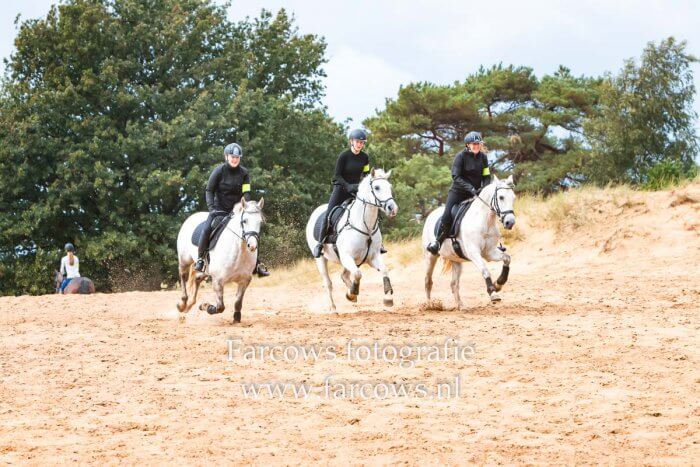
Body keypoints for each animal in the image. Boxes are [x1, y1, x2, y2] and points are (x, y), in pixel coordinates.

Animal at [306, 169, 400, 314]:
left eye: (389, 187)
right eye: (377, 187)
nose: (392, 208)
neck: (365, 227)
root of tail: (315, 213)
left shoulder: (373, 257)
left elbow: (384, 270)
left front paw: (388, 299)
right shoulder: (347, 257)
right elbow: (357, 274)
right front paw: (351, 293)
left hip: (352, 261)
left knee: (344, 275)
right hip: (321, 258)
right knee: (328, 283)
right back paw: (333, 308)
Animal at [422, 176, 516, 308]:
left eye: (513, 198)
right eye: (501, 197)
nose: (510, 222)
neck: (485, 221)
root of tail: (430, 216)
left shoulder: (489, 252)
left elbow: (507, 258)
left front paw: (499, 283)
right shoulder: (473, 253)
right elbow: (485, 270)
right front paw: (493, 292)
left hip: (455, 260)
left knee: (454, 284)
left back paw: (461, 306)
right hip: (430, 256)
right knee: (428, 281)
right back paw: (430, 305)